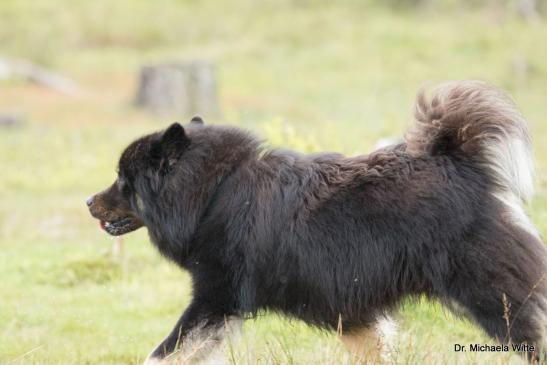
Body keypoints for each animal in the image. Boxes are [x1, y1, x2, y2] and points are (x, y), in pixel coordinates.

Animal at [89, 81, 547, 362]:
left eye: (123, 181)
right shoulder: (351, 305)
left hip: (490, 292)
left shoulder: (217, 298)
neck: (212, 193)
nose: (89, 201)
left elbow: (164, 351)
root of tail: (461, 164)